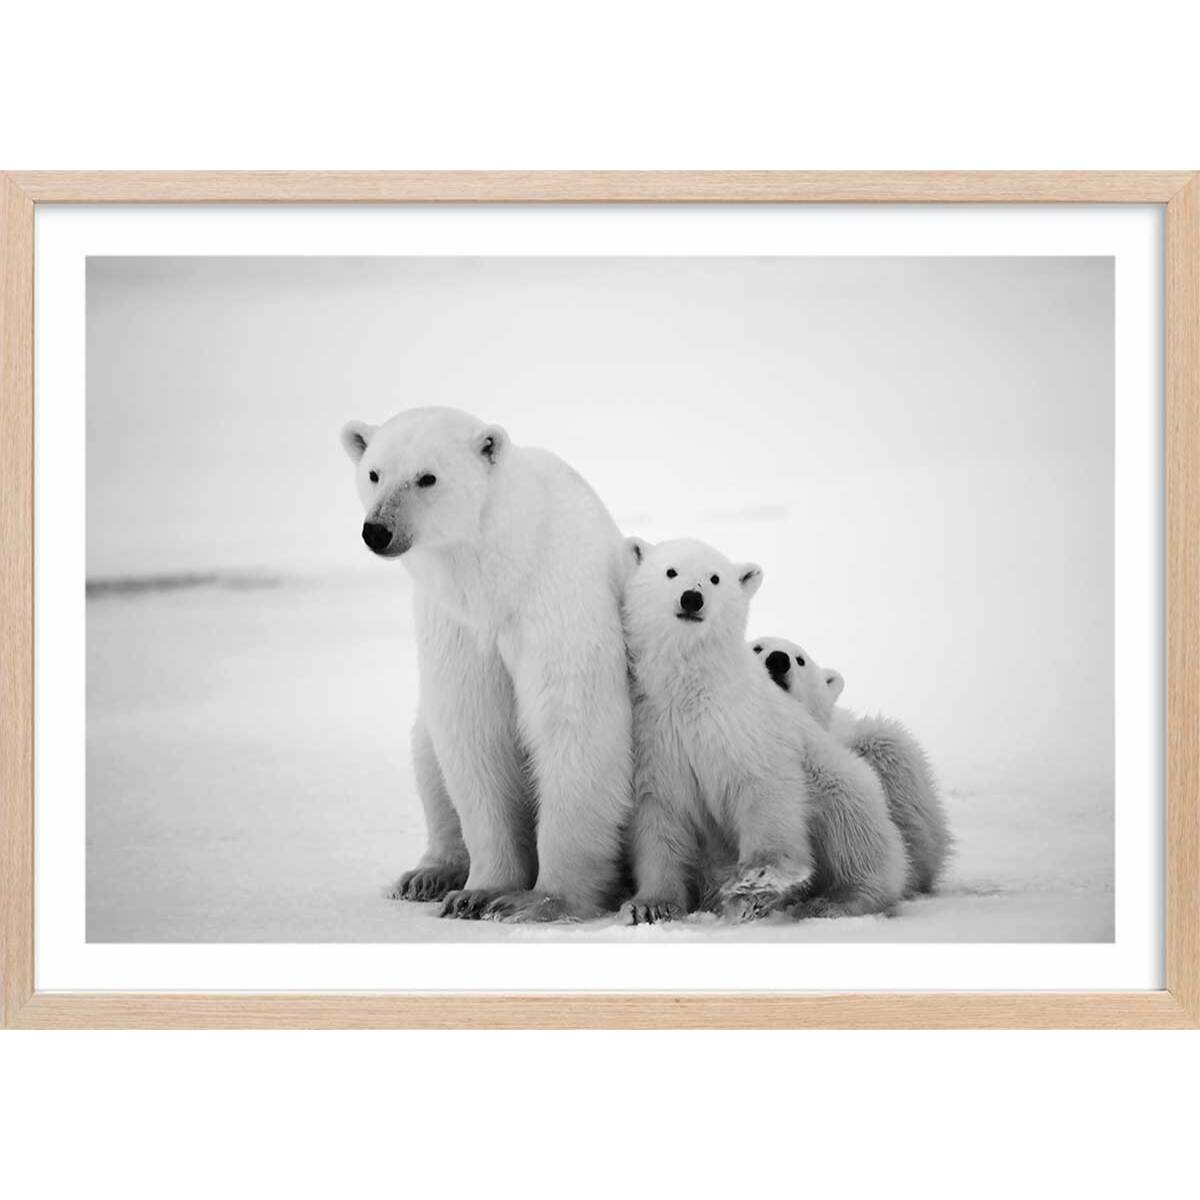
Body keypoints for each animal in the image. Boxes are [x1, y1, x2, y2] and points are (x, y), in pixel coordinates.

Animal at [341, 406, 634, 922]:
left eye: (427, 477)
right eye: (374, 473)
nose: (378, 530)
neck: (500, 572)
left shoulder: (557, 600)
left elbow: (573, 724)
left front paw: (539, 900)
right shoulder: (456, 624)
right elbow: (473, 731)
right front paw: (478, 892)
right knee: (427, 753)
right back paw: (428, 874)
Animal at [621, 537, 907, 924]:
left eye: (715, 578)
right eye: (671, 571)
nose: (692, 598)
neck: (692, 688)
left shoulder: (745, 723)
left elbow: (765, 787)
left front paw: (758, 878)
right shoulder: (656, 734)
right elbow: (659, 816)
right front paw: (649, 905)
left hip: (839, 780)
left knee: (853, 831)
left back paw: (835, 900)